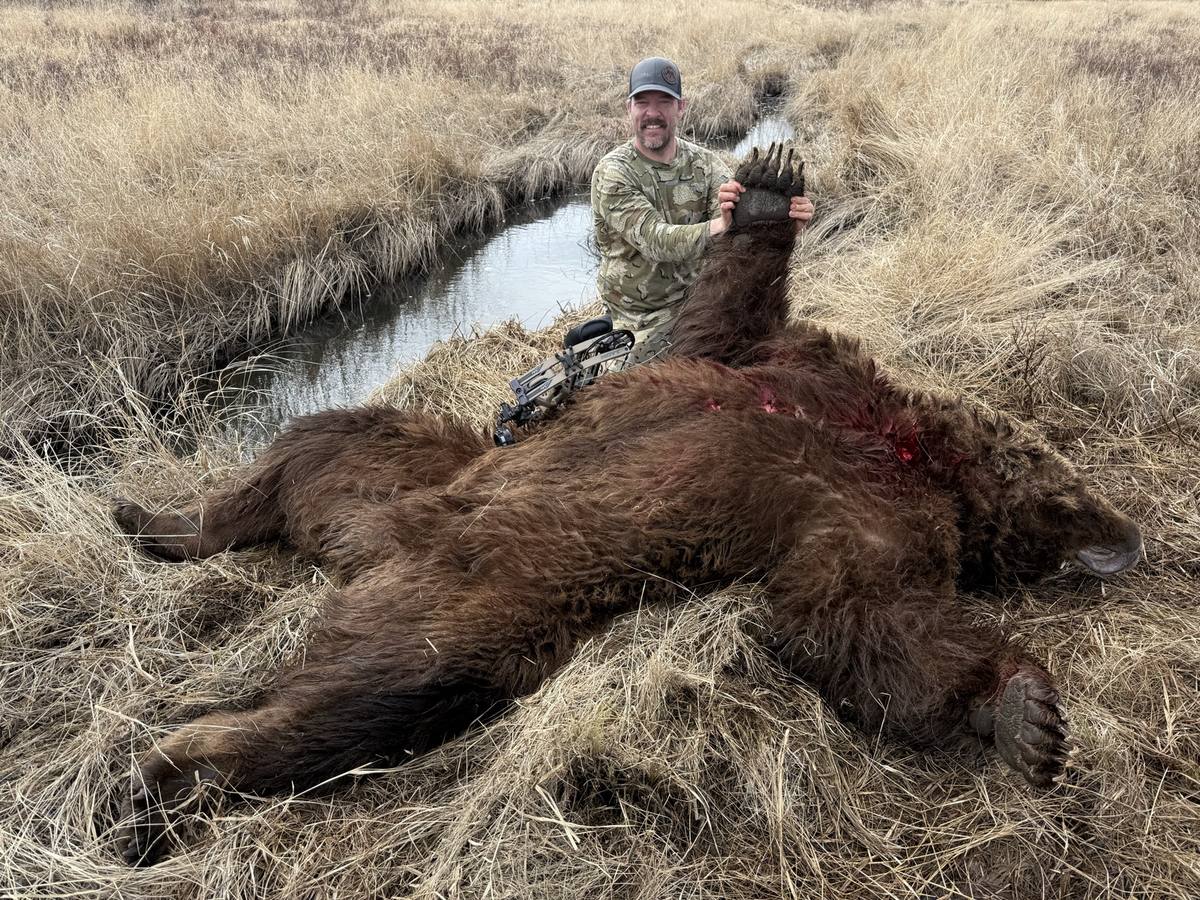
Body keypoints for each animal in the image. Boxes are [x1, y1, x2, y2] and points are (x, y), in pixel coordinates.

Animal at [112, 145, 1143, 866]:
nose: (1125, 538)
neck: (899, 437)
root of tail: (367, 549)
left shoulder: (869, 518)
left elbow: (860, 620)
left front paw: (1026, 718)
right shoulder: (782, 365)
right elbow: (722, 314)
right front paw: (767, 183)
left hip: (475, 588)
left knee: (373, 683)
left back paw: (169, 754)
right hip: (424, 481)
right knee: (316, 450)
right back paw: (160, 560)